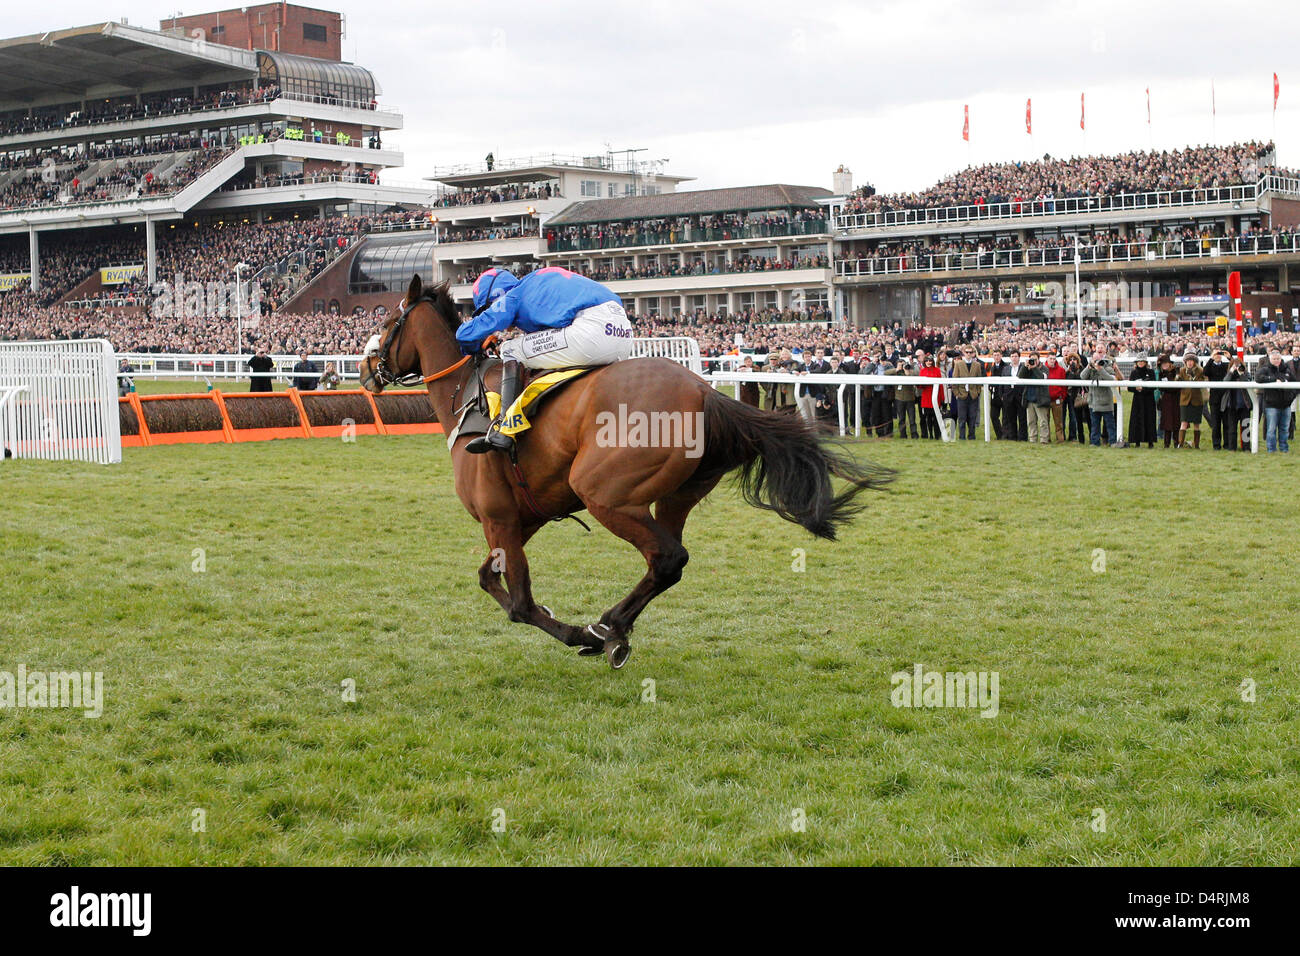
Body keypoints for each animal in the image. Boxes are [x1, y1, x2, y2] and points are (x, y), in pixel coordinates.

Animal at [361, 273, 889, 671]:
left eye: (387, 322)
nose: (366, 371)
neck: (465, 397)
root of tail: (706, 392)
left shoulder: (499, 519)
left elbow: (521, 604)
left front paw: (574, 631)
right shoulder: (522, 518)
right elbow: (490, 581)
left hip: (605, 492)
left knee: (667, 556)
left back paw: (604, 628)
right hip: (672, 495)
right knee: (667, 562)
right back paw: (615, 628)